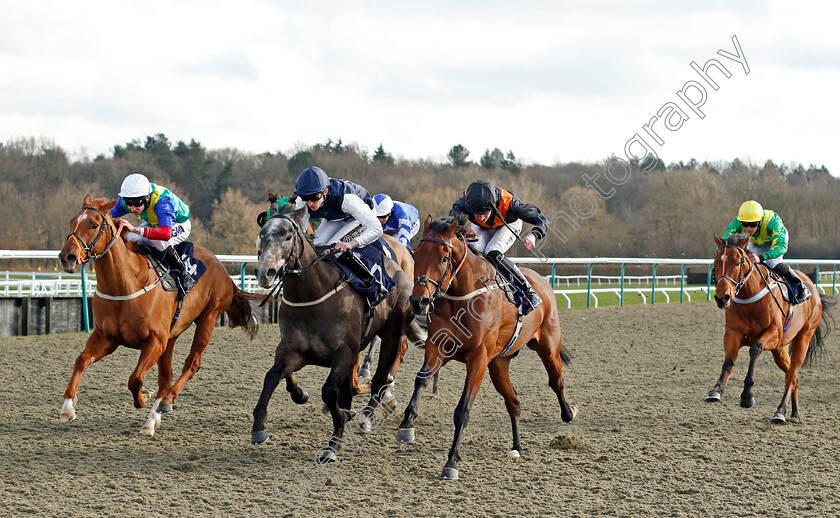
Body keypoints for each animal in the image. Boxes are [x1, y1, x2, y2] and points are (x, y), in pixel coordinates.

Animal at [58, 197, 260, 436]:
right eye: (72, 221)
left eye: (94, 225)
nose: (67, 257)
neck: (126, 284)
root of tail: (222, 268)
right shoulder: (106, 338)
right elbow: (81, 361)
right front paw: (68, 408)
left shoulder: (154, 341)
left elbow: (135, 379)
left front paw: (143, 398)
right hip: (171, 335)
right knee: (166, 376)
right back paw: (152, 420)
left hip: (209, 318)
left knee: (192, 364)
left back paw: (166, 402)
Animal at [398, 216, 576, 484]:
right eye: (417, 254)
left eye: (443, 258)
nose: (418, 301)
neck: (461, 296)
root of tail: (541, 281)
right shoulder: (437, 346)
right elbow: (422, 379)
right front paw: (407, 425)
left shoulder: (478, 359)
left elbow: (463, 410)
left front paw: (451, 462)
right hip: (499, 365)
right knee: (514, 402)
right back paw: (517, 447)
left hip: (548, 348)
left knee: (556, 382)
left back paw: (568, 412)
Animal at [708, 235, 832, 422]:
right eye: (716, 262)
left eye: (737, 263)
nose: (722, 298)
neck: (750, 296)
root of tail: (815, 292)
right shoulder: (732, 333)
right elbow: (728, 362)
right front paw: (716, 390)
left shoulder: (774, 333)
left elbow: (755, 348)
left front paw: (747, 396)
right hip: (780, 350)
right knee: (792, 375)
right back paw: (794, 412)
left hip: (803, 338)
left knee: (792, 376)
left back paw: (780, 411)